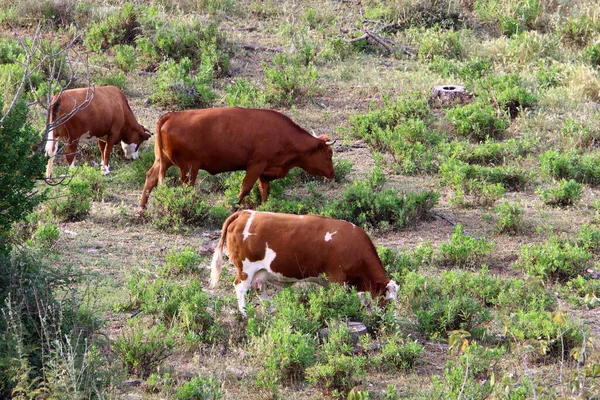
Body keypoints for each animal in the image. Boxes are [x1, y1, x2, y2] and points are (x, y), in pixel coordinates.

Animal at [139, 108, 336, 209]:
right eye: (328, 154)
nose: (332, 174)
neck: (284, 135)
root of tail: (170, 116)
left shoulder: (265, 172)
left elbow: (264, 190)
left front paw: (265, 207)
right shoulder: (256, 165)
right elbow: (246, 187)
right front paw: (233, 205)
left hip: (163, 161)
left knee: (151, 178)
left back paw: (142, 208)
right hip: (189, 169)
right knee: (183, 188)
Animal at [210, 209, 398, 316]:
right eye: (387, 299)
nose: (393, 320)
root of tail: (244, 213)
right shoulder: (337, 277)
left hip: (261, 271)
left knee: (259, 288)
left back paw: (271, 310)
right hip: (245, 268)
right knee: (240, 287)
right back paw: (245, 314)